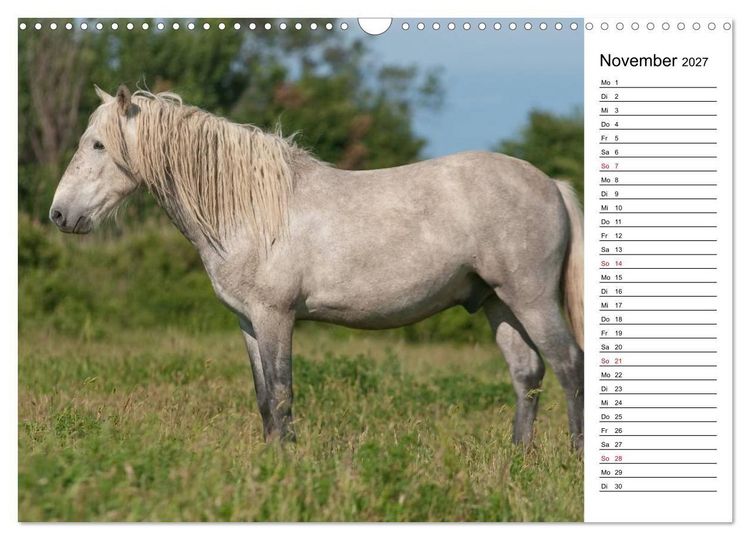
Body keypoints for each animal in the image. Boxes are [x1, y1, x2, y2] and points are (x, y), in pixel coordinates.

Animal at [49, 85, 584, 448]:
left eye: (97, 145)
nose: (59, 215)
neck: (250, 207)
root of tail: (551, 184)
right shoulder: (248, 322)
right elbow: (263, 396)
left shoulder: (276, 317)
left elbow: (282, 392)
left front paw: (286, 463)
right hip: (497, 303)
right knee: (527, 374)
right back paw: (517, 457)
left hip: (531, 299)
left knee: (568, 364)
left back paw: (574, 457)